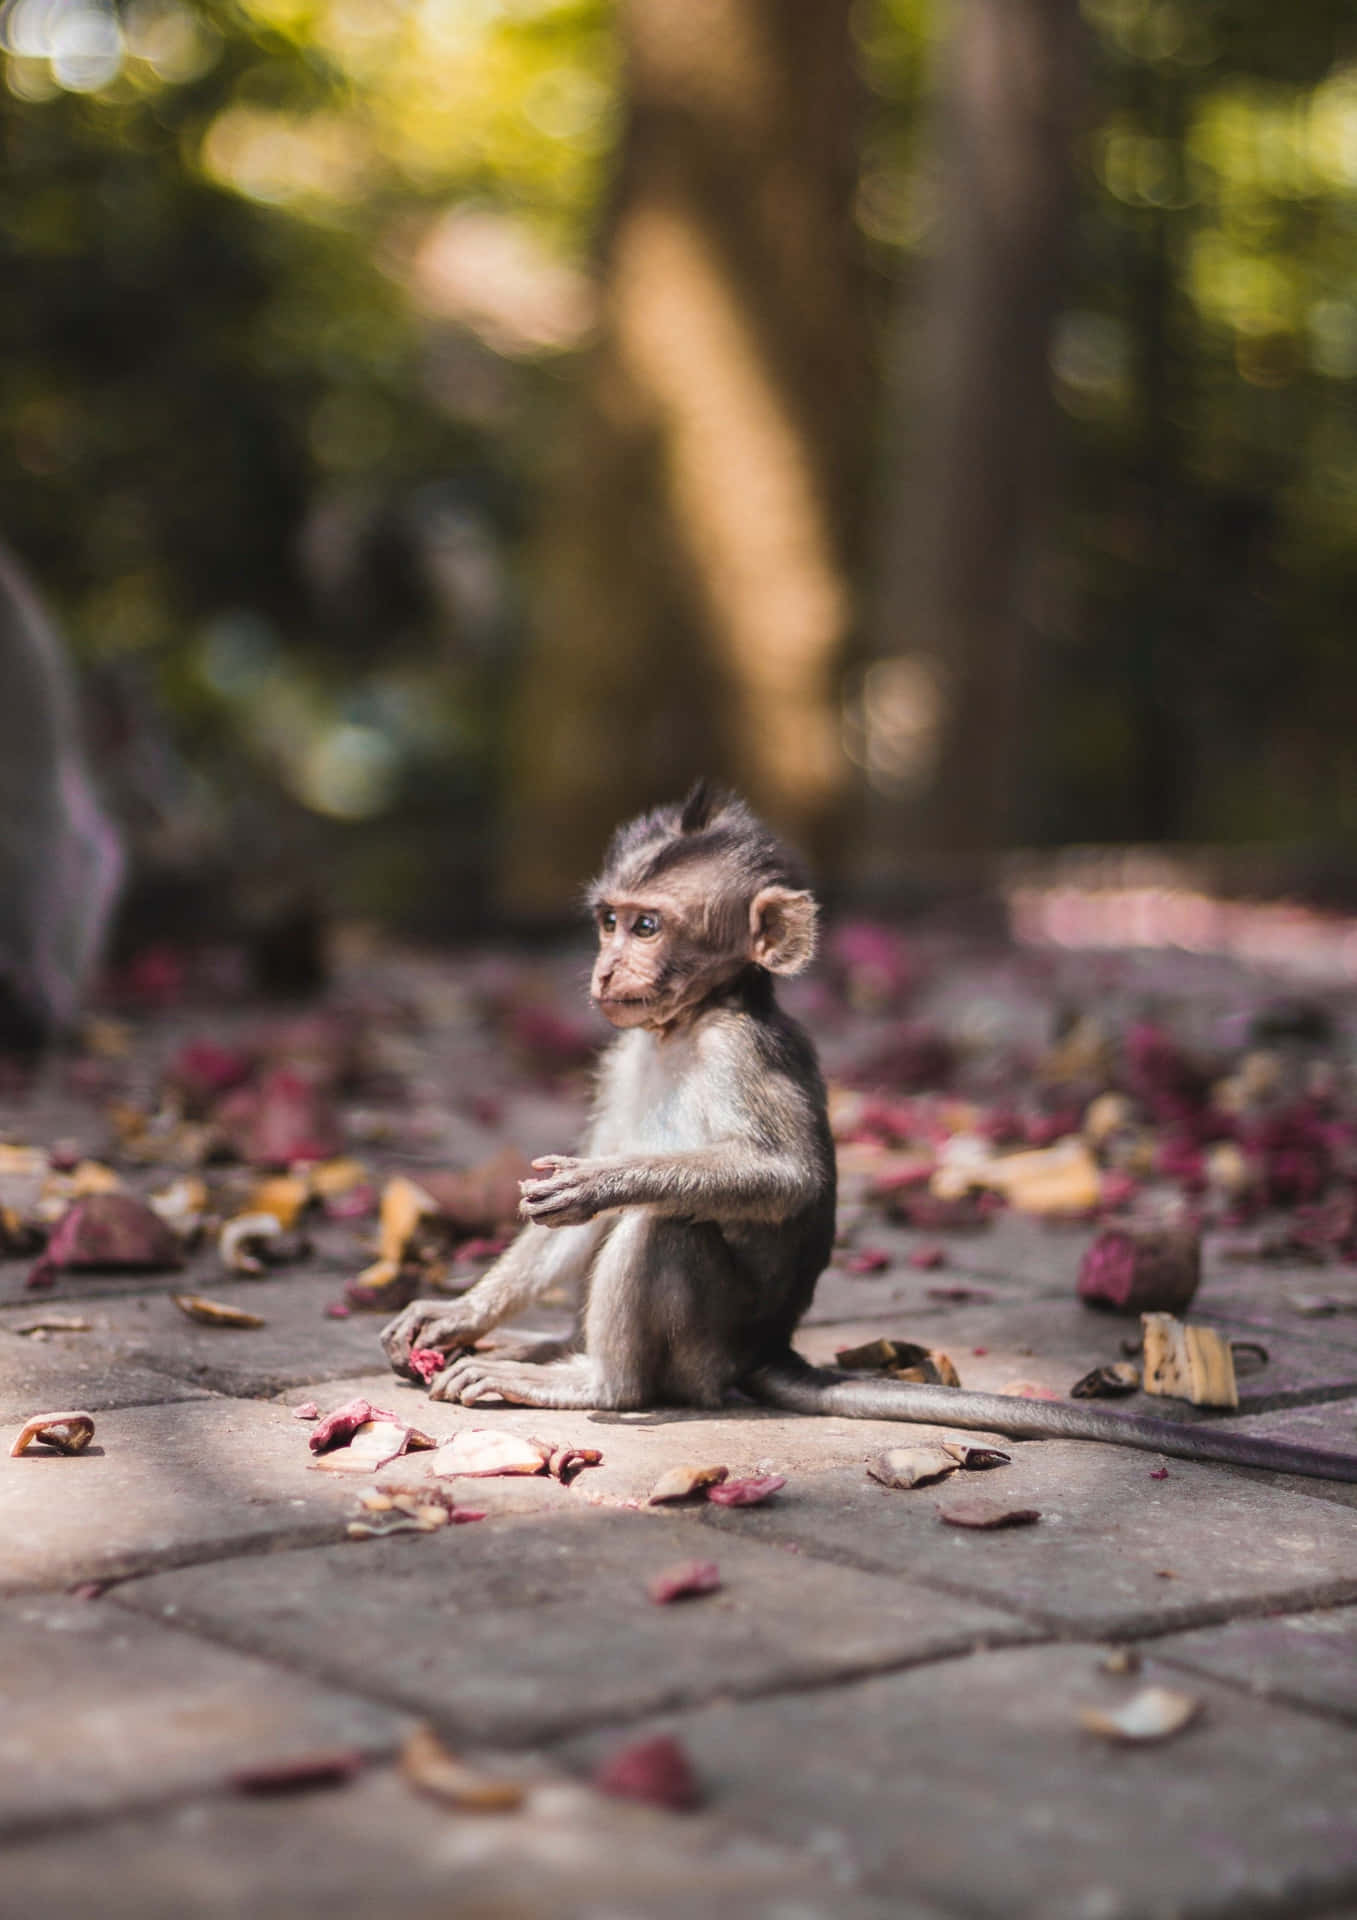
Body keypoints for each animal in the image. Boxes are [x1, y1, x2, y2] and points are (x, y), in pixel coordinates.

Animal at [380, 783, 1357, 1482]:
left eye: (648, 926)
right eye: (608, 920)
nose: (605, 968)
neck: (689, 1023)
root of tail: (767, 1346)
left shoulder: (741, 1051)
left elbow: (782, 1180)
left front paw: (601, 1184)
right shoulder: (624, 1052)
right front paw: (456, 1310)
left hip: (707, 1345)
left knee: (664, 1227)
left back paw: (591, 1380)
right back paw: (543, 1346)